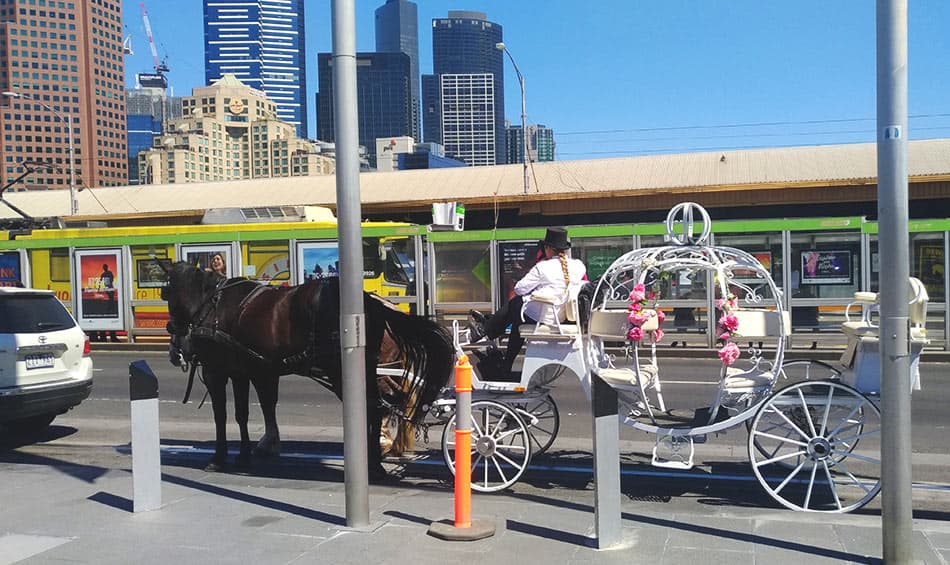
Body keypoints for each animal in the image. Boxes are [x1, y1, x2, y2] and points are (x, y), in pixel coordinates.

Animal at [165, 262, 456, 476]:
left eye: (166, 295)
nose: (175, 348)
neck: (213, 305)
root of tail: (373, 302)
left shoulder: (218, 371)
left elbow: (223, 415)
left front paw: (220, 456)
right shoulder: (247, 370)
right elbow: (247, 412)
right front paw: (250, 451)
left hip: (344, 371)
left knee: (374, 408)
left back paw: (373, 460)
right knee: (381, 406)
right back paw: (376, 458)